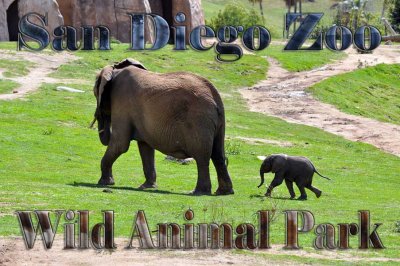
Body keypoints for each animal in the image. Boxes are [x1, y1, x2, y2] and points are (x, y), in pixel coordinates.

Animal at [92, 58, 233, 195]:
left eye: (94, 92)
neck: (115, 69)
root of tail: (216, 98)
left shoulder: (122, 101)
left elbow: (120, 144)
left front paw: (104, 183)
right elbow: (145, 147)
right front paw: (147, 187)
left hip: (198, 120)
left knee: (202, 156)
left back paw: (198, 192)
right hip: (217, 122)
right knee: (218, 154)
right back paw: (224, 192)